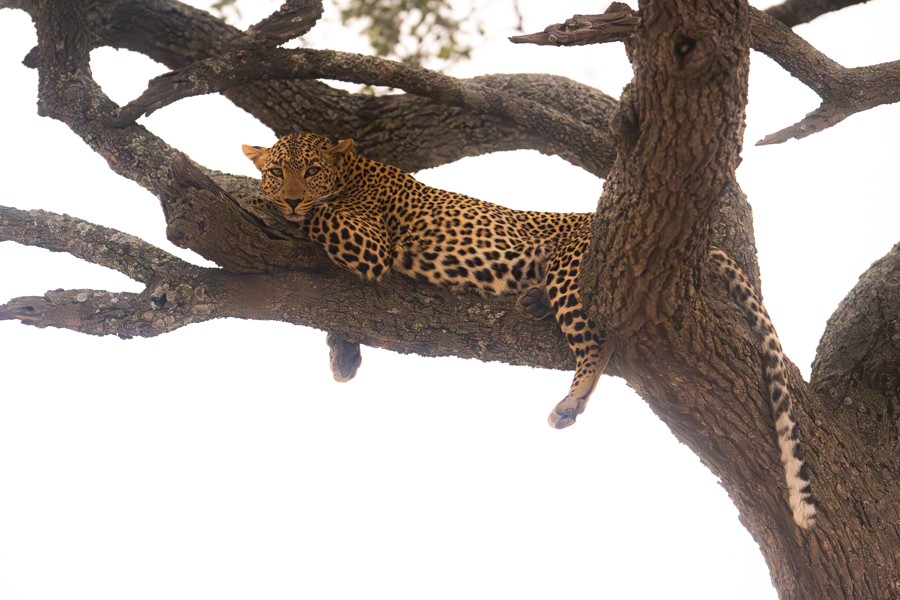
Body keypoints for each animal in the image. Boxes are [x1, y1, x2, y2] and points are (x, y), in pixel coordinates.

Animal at [243, 132, 816, 529]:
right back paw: (534, 304)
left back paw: (571, 400)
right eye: (279, 170)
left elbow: (321, 217)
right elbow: (341, 315)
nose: (288, 196)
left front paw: (271, 204)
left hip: (571, 271)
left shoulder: (368, 244)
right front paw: (343, 356)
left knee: (599, 343)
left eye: (310, 170)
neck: (353, 173)